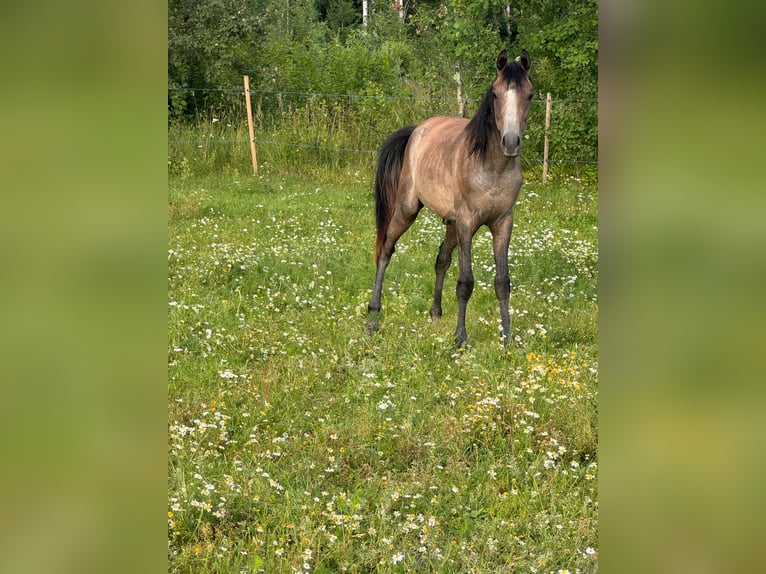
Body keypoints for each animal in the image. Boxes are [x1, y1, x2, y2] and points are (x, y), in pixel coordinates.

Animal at [366, 49, 536, 346]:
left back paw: (435, 312)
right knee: (386, 250)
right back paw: (373, 315)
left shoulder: (503, 223)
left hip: (452, 224)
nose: (510, 142)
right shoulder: (468, 223)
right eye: (495, 94)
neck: (491, 167)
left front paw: (507, 338)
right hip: (409, 209)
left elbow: (502, 283)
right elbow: (465, 282)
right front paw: (460, 338)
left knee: (441, 259)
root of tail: (418, 129)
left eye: (530, 95)